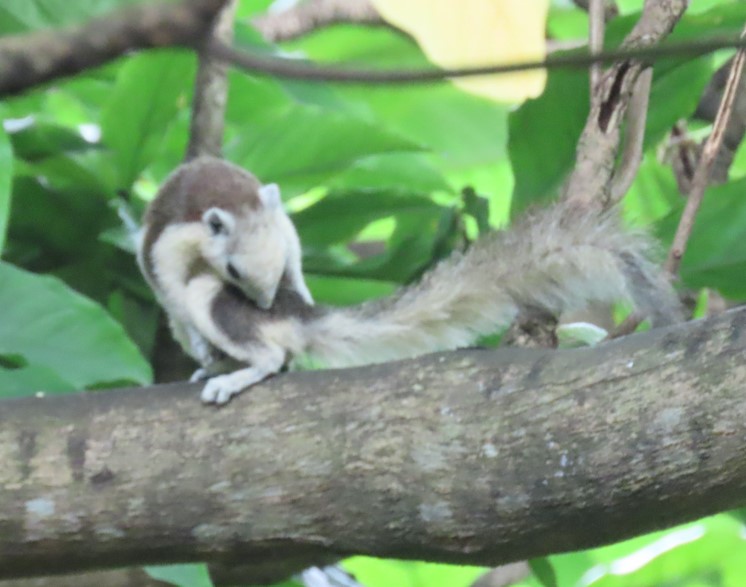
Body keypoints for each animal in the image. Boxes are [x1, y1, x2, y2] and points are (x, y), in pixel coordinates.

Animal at [138, 156, 681, 404]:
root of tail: (297, 317)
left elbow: (184, 301)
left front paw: (210, 357)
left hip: (225, 306)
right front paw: (205, 355)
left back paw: (235, 371)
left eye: (272, 272)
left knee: (267, 351)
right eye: (235, 269)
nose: (268, 303)